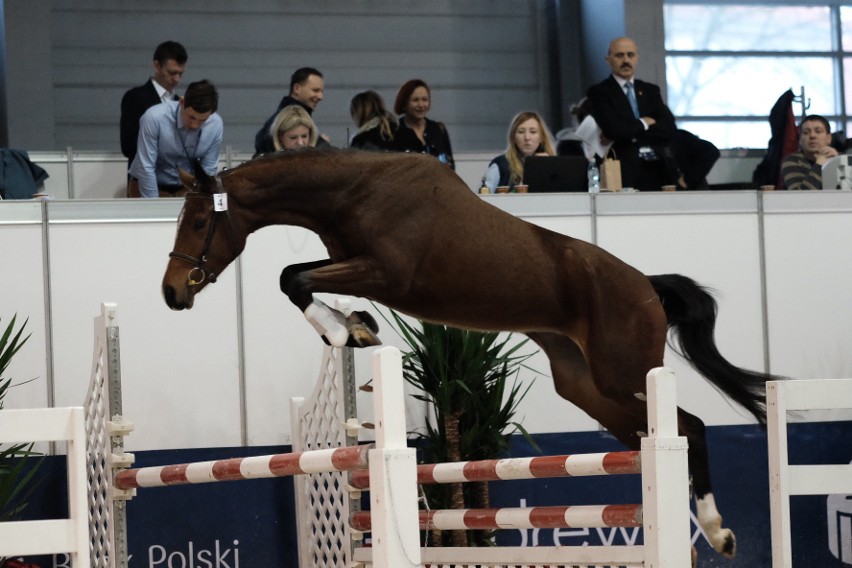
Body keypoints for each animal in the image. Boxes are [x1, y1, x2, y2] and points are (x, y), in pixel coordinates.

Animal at [163, 149, 784, 560]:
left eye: (200, 220)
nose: (172, 293)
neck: (357, 190)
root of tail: (646, 286)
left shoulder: (384, 271)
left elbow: (292, 277)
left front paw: (346, 334)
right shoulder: (353, 265)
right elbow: (298, 278)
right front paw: (356, 328)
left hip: (623, 371)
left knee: (692, 428)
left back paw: (719, 531)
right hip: (587, 387)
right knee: (654, 435)